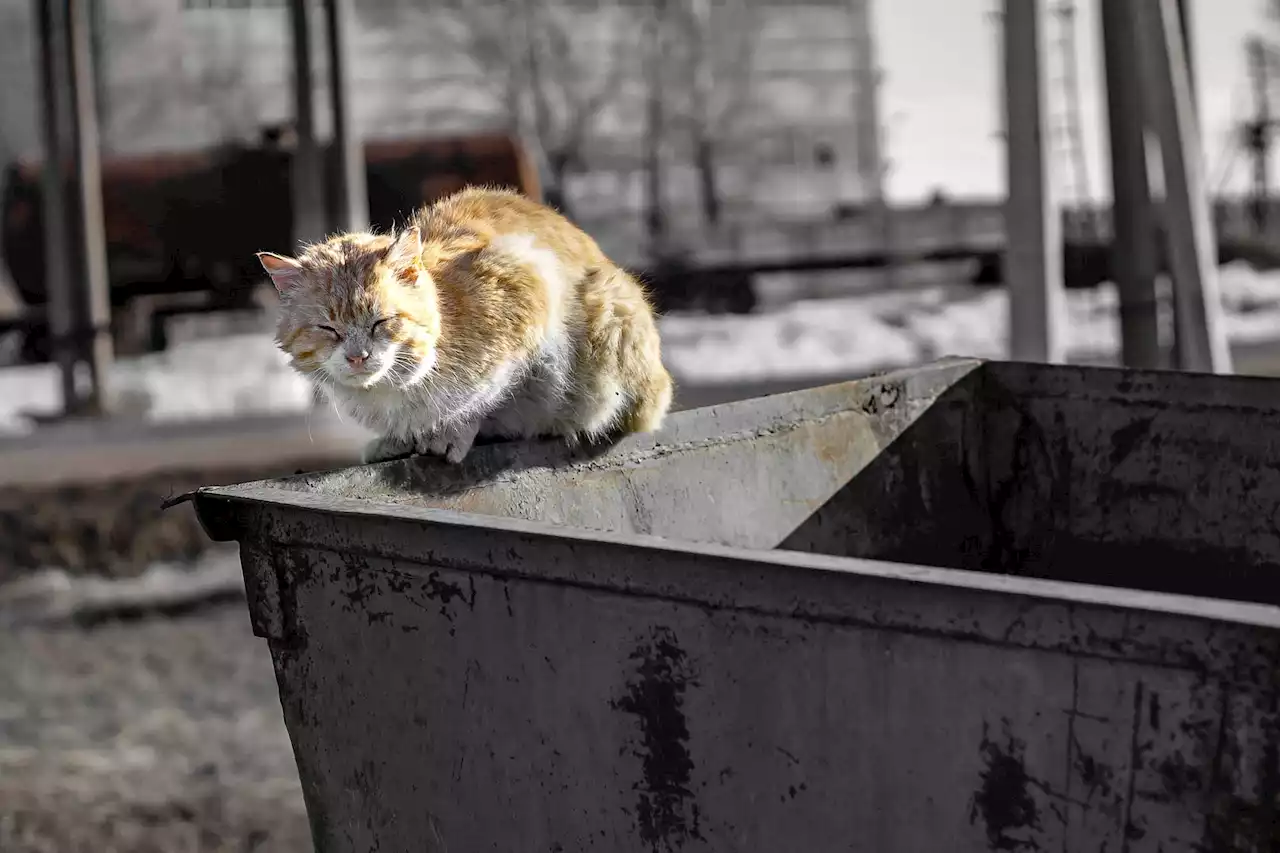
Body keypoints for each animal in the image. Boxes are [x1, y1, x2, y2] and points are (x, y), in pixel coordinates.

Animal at [256, 186, 675, 466]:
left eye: (381, 322)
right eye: (328, 329)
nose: (358, 357)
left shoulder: (527, 281)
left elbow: (488, 394)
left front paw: (454, 431)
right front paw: (398, 440)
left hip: (611, 313)